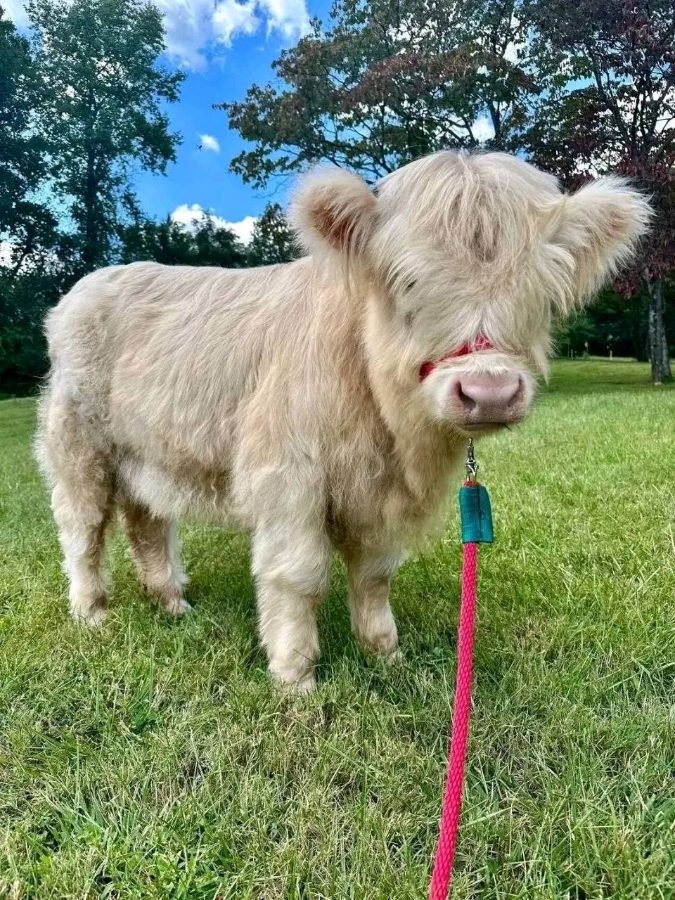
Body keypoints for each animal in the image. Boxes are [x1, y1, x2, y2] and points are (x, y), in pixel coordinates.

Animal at [35, 151, 650, 692]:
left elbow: (375, 574)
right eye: (406, 281)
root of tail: (88, 286)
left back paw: (171, 602)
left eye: (541, 290)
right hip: (79, 445)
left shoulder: (378, 495)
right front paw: (295, 679)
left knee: (148, 522)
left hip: (150, 450)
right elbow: (298, 574)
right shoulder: (288, 478)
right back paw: (92, 613)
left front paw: (385, 656)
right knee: (82, 527)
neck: (390, 432)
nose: (489, 393)